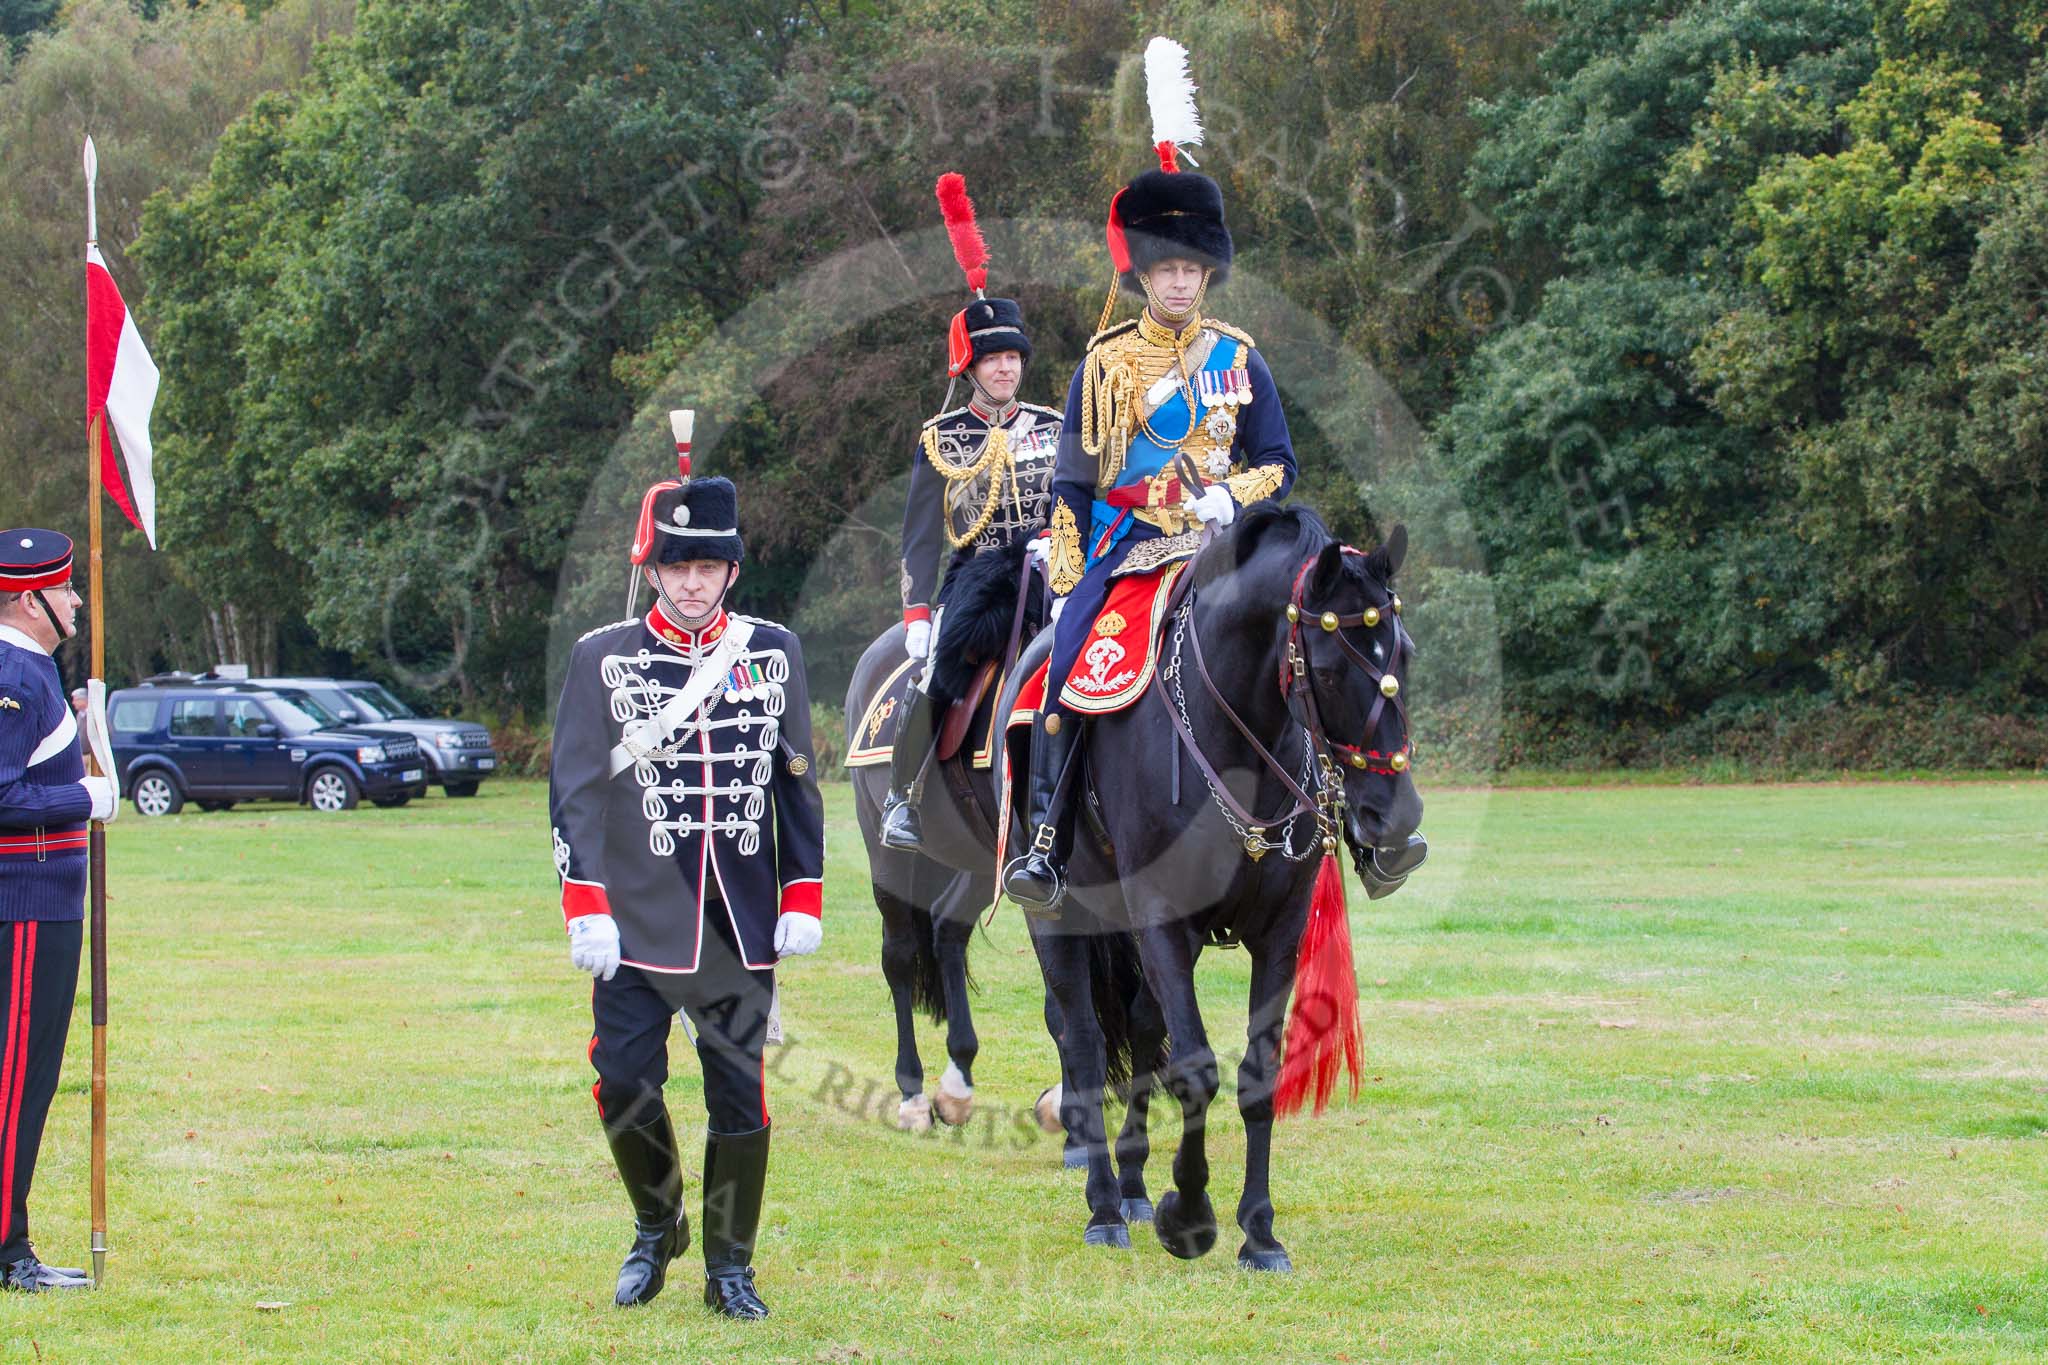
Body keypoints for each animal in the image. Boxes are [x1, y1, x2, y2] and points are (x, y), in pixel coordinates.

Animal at [995, 507, 1425, 1277]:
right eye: (1330, 664)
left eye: (1402, 653)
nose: (1397, 821)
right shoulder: (1164, 920)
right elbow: (1195, 1070)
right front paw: (1189, 1216)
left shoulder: (1279, 929)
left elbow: (1257, 1074)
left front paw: (1259, 1231)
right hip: (1057, 915)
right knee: (1082, 1040)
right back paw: (1105, 1207)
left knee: (1139, 1028)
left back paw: (1134, 1187)